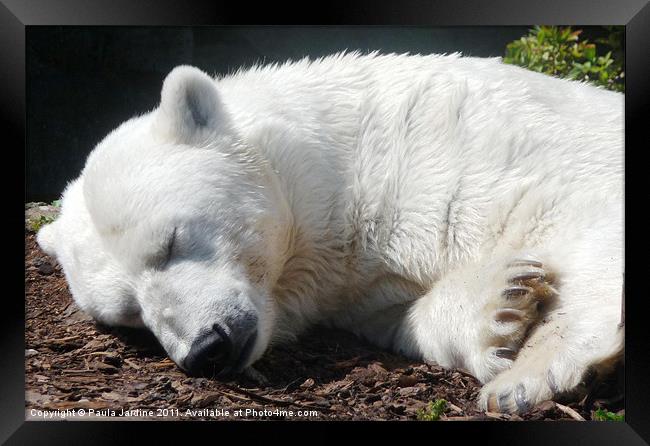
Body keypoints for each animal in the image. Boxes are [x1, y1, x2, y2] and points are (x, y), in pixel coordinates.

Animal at [36, 53, 624, 414]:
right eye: (130, 315)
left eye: (171, 242)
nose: (207, 349)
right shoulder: (354, 288)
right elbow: (401, 317)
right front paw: (503, 303)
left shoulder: (464, 150)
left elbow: (583, 210)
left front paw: (524, 378)